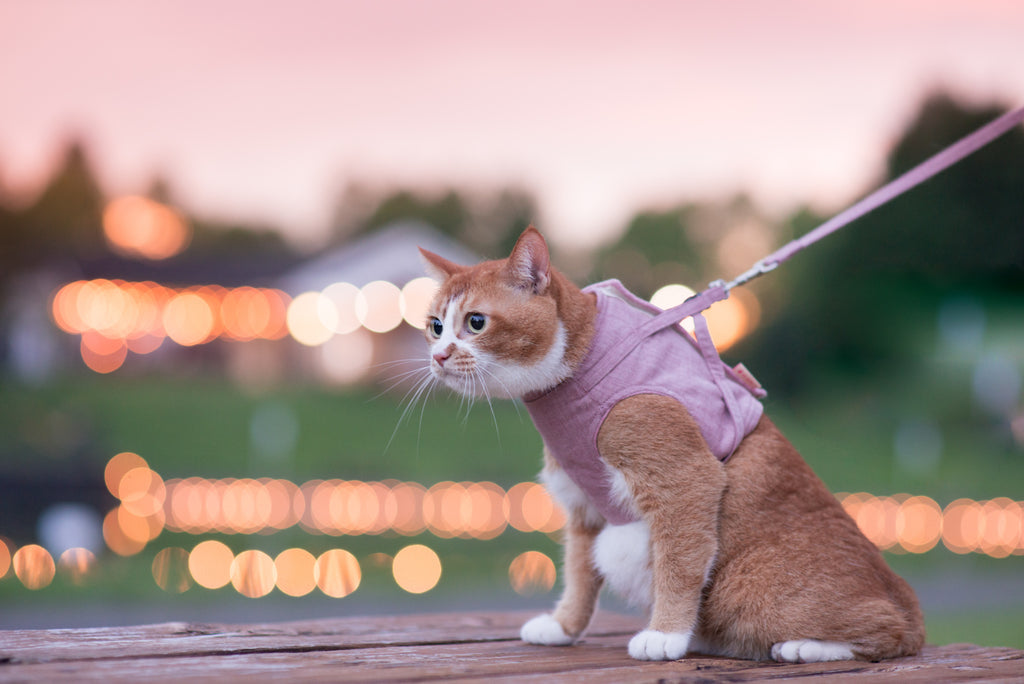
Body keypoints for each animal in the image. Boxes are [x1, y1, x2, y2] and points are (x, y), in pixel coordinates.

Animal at [417, 225, 929, 663]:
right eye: (435, 326)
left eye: (476, 322)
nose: (438, 356)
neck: (577, 362)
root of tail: (904, 594)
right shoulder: (584, 505)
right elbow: (580, 573)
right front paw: (564, 627)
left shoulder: (685, 480)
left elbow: (678, 564)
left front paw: (665, 634)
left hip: (751, 587)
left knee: (892, 634)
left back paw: (805, 646)